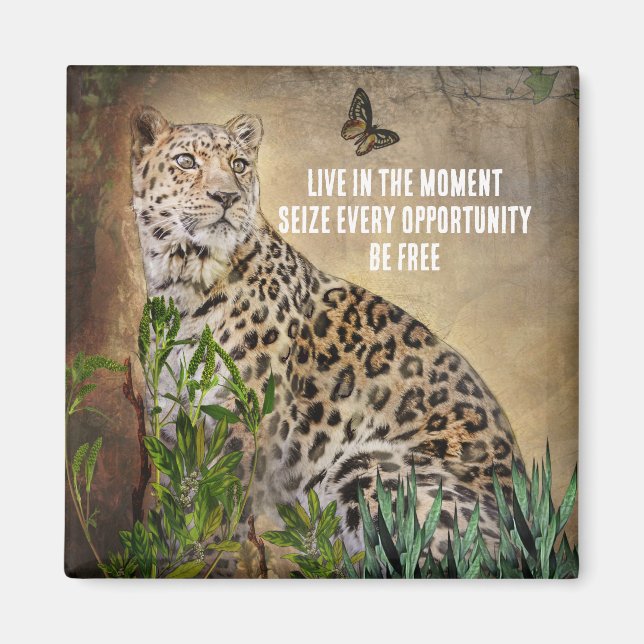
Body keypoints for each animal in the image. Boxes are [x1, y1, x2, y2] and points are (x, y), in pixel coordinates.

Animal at [129, 105, 524, 565]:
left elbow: (224, 510)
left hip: (367, 467)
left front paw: (213, 560)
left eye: (239, 165)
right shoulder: (173, 426)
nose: (227, 197)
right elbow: (182, 501)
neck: (182, 284)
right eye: (186, 161)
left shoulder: (243, 424)